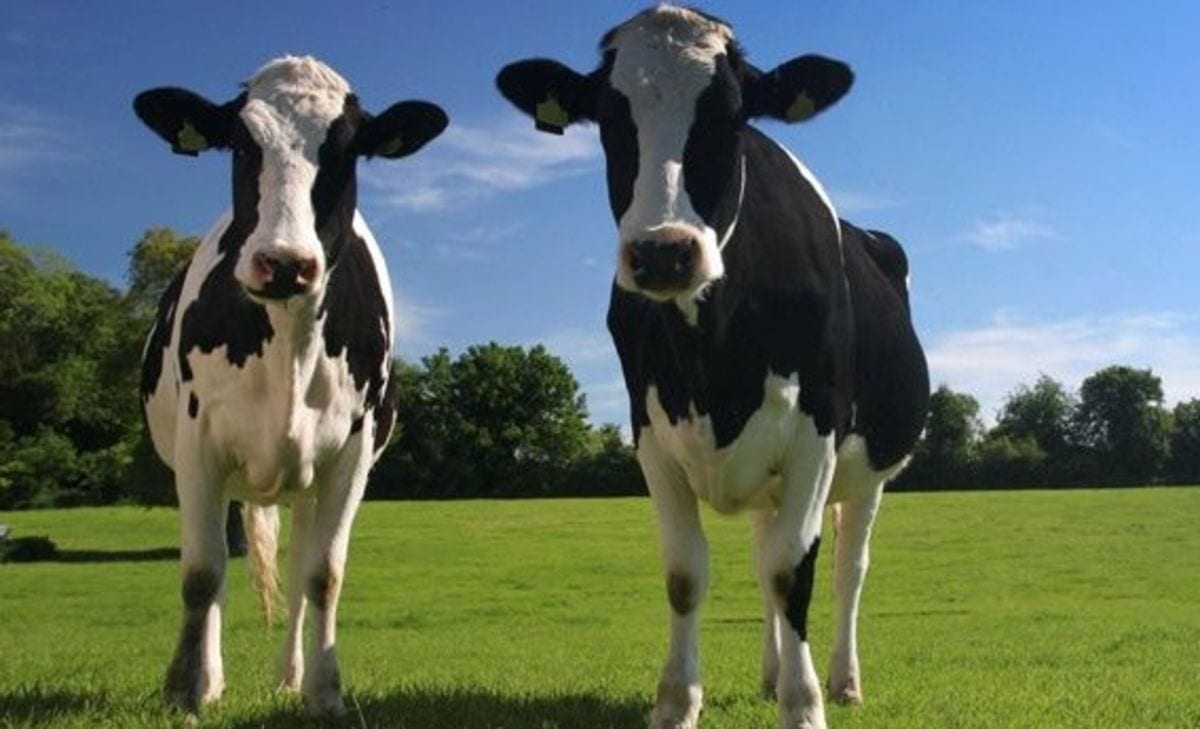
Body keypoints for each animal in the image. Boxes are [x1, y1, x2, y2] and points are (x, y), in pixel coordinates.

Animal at [134, 56, 447, 717]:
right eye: (240, 145)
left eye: (348, 150)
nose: (283, 263)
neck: (288, 350)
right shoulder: (198, 444)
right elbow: (201, 573)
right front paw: (186, 689)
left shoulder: (352, 452)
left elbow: (323, 574)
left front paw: (324, 692)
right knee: (222, 569)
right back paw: (215, 676)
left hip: (304, 483)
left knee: (301, 566)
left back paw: (289, 676)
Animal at [497, 7, 929, 729]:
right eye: (611, 119)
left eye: (730, 116)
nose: (663, 252)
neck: (713, 363)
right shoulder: (650, 433)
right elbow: (687, 573)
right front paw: (677, 702)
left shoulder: (816, 431)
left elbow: (794, 571)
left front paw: (805, 707)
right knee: (763, 556)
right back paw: (771, 673)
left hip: (870, 471)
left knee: (847, 566)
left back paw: (841, 679)